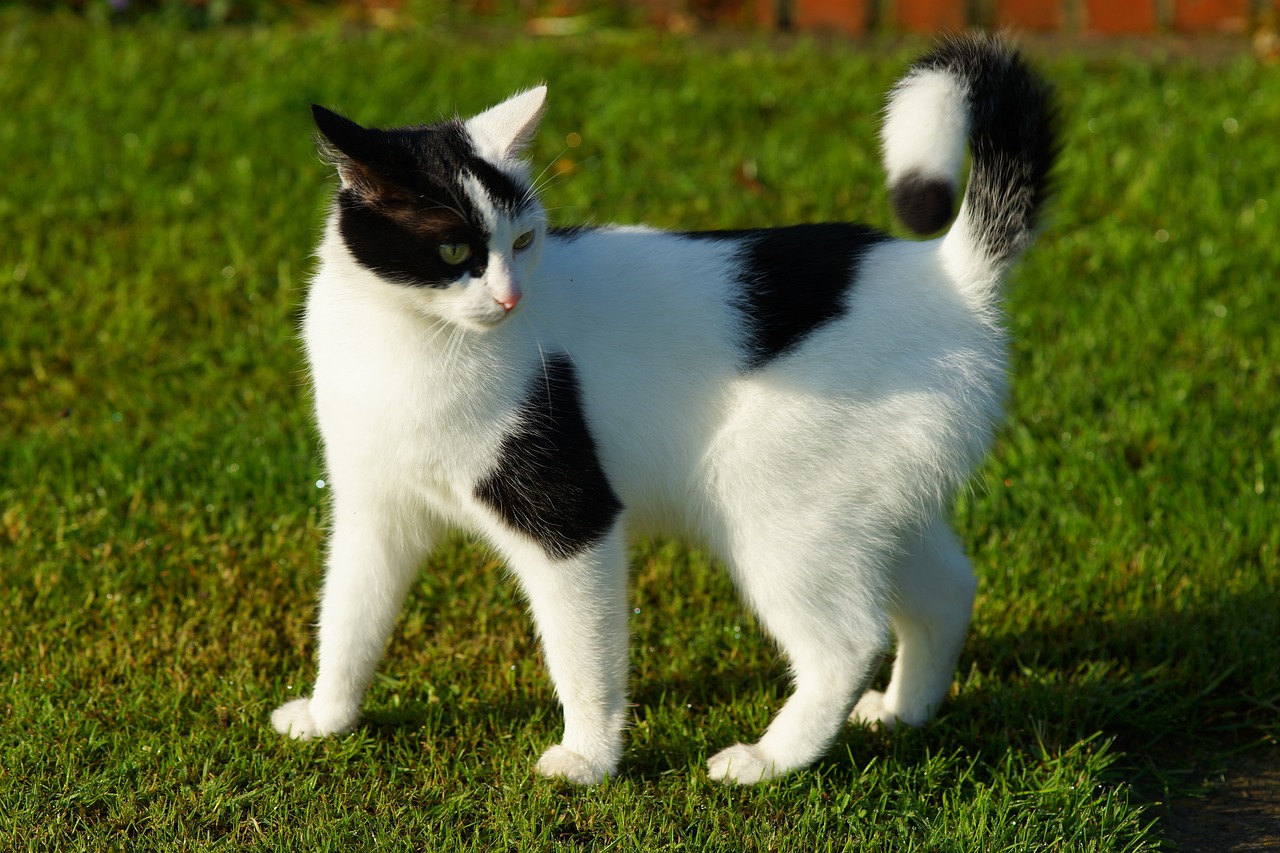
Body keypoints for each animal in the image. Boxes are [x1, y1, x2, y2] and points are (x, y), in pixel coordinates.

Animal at [272, 34, 1059, 783]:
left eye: (523, 240)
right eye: (453, 250)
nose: (511, 297)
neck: (409, 339)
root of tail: (949, 276)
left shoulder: (572, 519)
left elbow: (583, 655)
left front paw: (590, 760)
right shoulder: (374, 509)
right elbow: (348, 617)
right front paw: (327, 716)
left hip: (775, 510)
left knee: (847, 642)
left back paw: (768, 761)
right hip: (873, 508)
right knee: (949, 590)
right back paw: (903, 713)